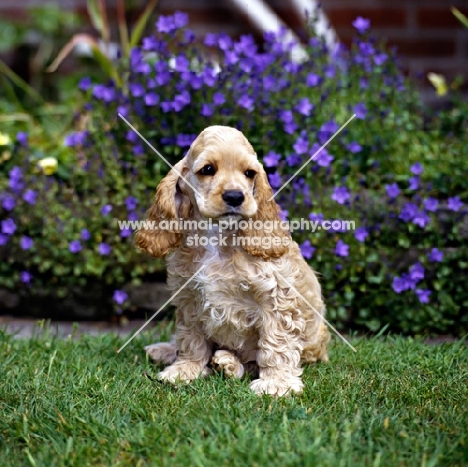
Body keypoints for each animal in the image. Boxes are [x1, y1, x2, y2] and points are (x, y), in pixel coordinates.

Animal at [135, 126, 330, 396]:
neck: (218, 238)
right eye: (207, 169)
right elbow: (191, 339)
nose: (236, 196)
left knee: (251, 362)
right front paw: (185, 370)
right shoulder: (190, 298)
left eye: (250, 173)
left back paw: (227, 362)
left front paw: (276, 383)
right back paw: (166, 351)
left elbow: (276, 343)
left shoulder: (275, 297)